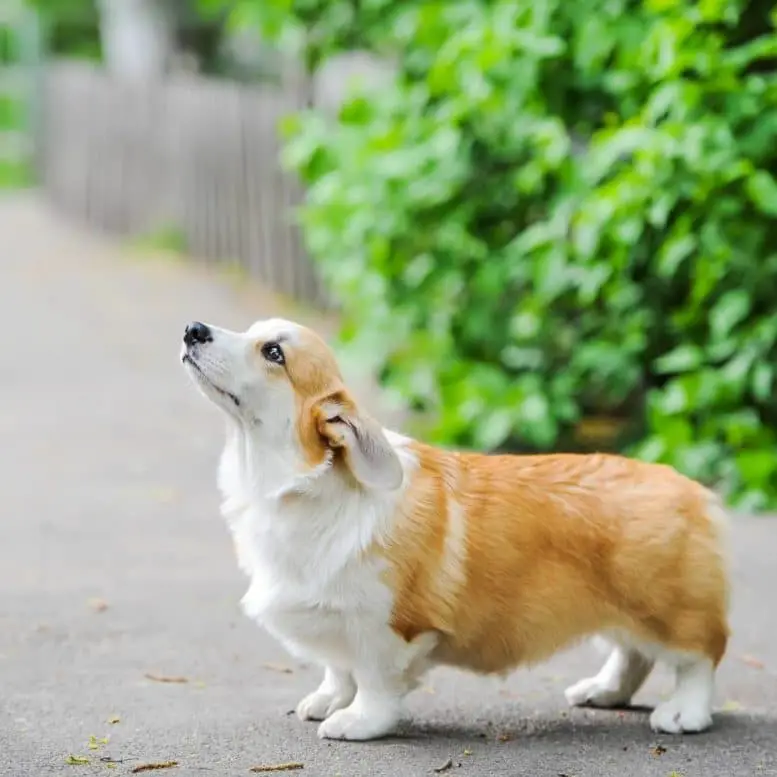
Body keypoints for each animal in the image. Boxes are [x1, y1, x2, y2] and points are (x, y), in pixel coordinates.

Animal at [180, 316, 728, 740]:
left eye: (273, 352)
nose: (193, 329)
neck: (296, 487)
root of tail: (689, 486)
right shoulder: (332, 617)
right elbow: (338, 668)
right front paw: (328, 699)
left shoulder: (386, 627)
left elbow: (373, 680)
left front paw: (357, 721)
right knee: (632, 655)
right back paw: (604, 691)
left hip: (666, 608)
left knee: (699, 658)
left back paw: (684, 713)